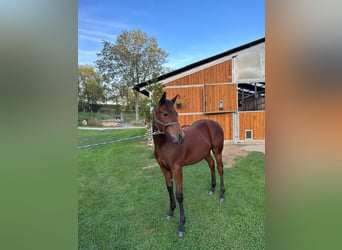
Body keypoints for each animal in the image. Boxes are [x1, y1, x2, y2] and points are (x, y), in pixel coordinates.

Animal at [152, 92, 224, 238]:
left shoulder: (177, 169)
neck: (165, 144)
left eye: (176, 113)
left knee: (220, 169)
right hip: (206, 153)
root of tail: (215, 123)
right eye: (165, 114)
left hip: (217, 151)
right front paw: (170, 212)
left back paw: (222, 195)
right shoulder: (164, 169)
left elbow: (179, 195)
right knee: (211, 165)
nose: (180, 137)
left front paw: (181, 226)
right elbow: (169, 188)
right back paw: (212, 189)